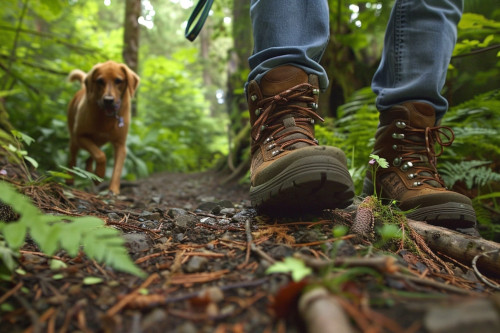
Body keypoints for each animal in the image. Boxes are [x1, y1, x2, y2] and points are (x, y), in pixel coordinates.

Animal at [66, 61, 140, 193]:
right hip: (74, 140)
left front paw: (113, 189)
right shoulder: (80, 136)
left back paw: (90, 170)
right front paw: (99, 175)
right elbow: (101, 155)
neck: (107, 118)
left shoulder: (120, 144)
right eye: (100, 81)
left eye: (118, 80)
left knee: (90, 156)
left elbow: (117, 169)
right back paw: (70, 179)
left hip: (99, 141)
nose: (108, 100)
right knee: (72, 158)